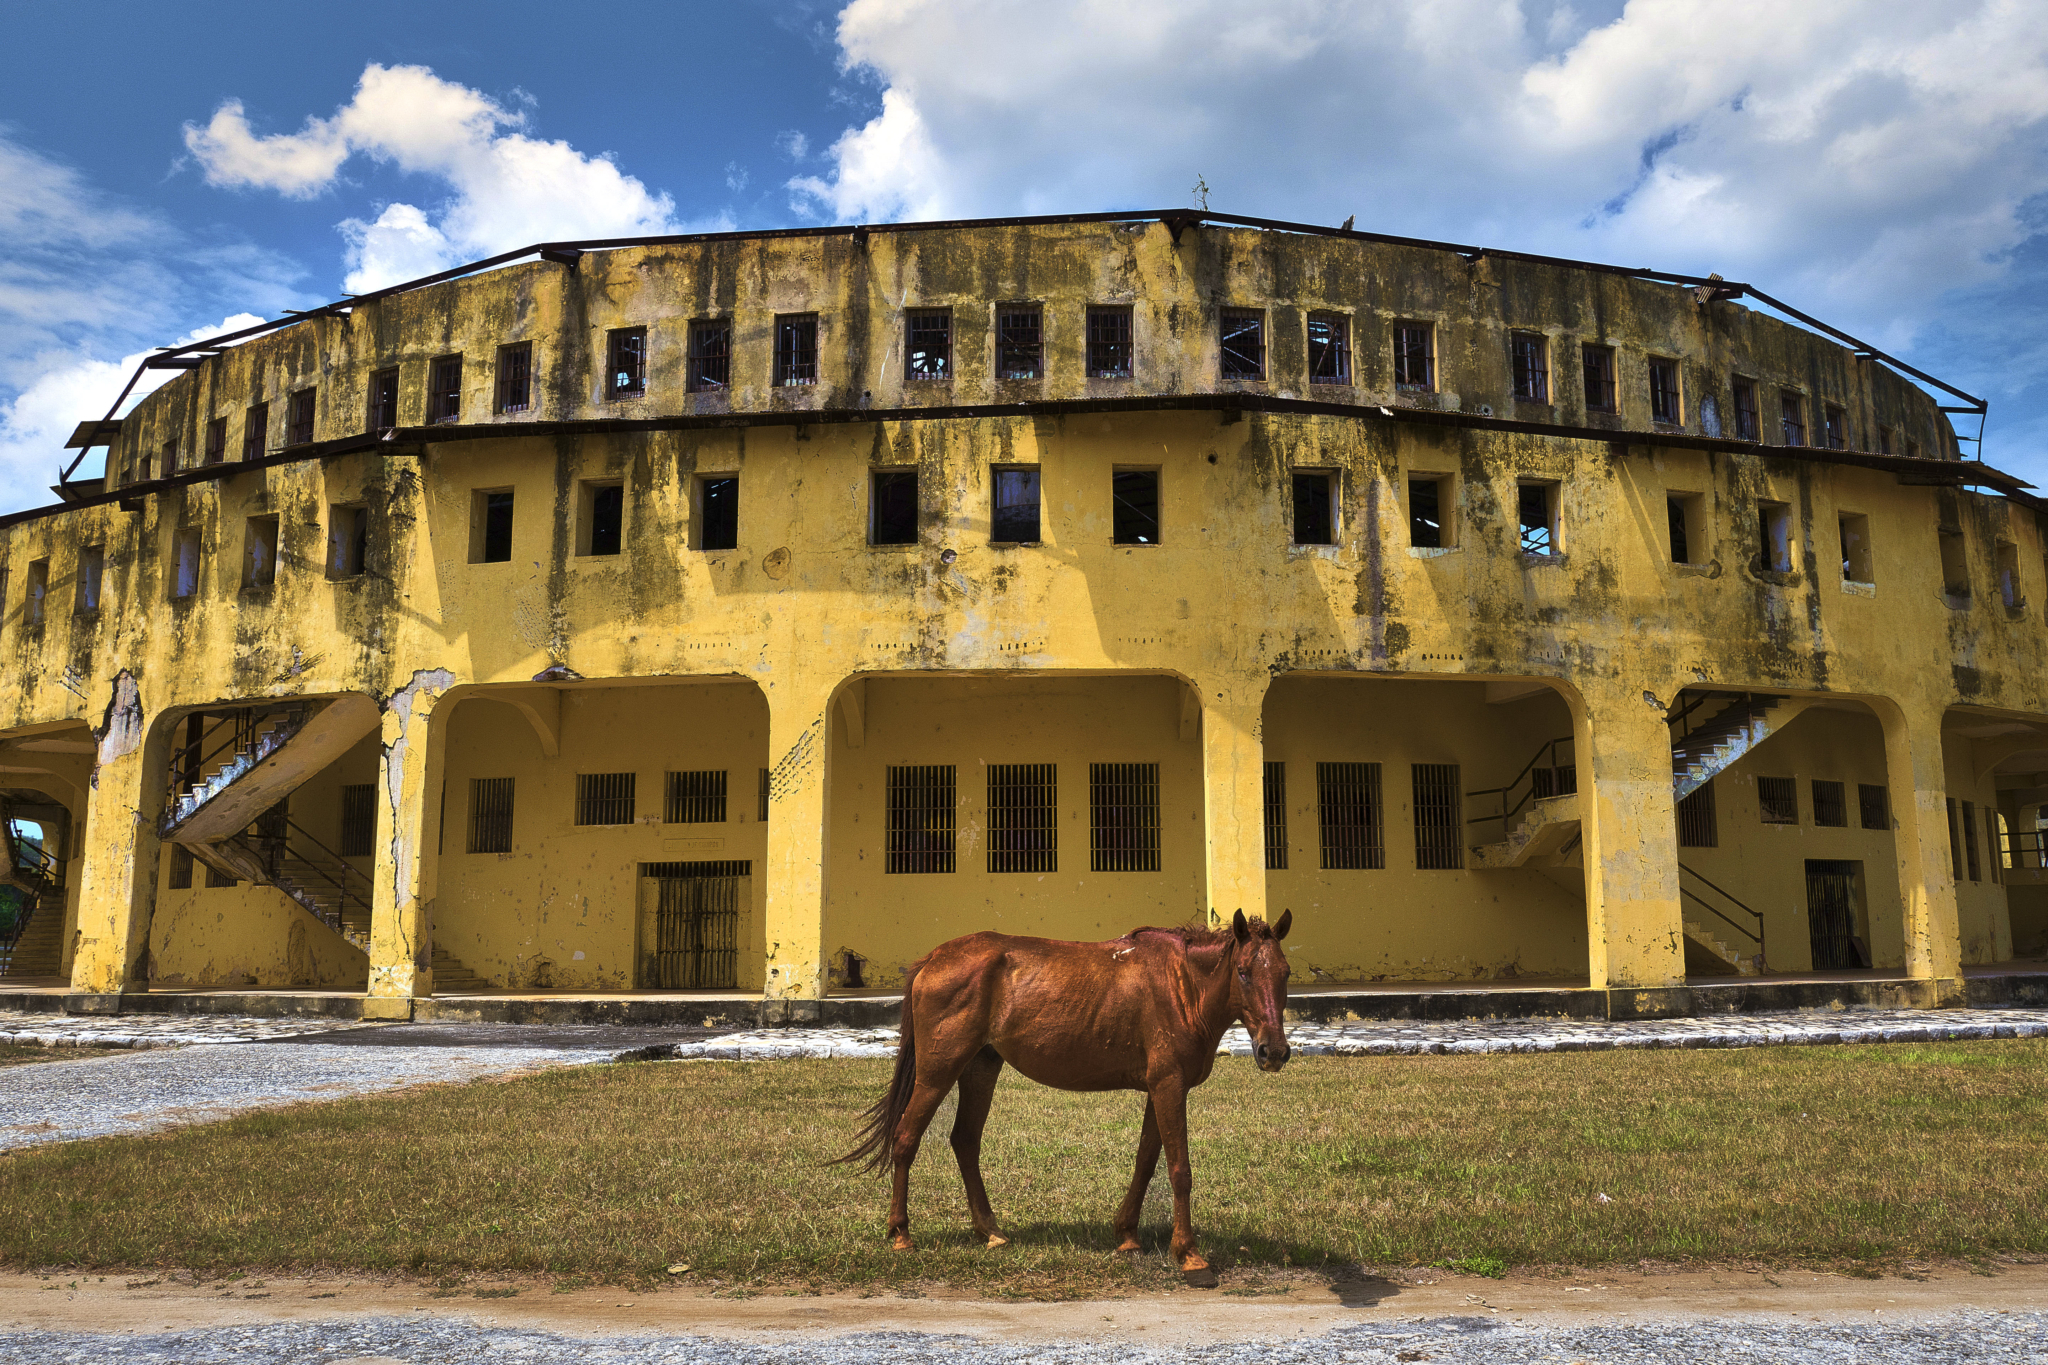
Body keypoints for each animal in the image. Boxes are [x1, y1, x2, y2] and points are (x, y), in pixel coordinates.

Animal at [837, 908, 1293, 1287]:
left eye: (1285, 973)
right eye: (1243, 971)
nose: (1274, 1051)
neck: (1182, 984)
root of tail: (933, 958)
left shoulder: (1157, 1088)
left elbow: (1146, 1161)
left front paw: (1127, 1234)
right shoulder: (1168, 1085)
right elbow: (1178, 1169)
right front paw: (1190, 1256)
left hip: (981, 1066)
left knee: (964, 1141)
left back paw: (991, 1232)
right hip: (938, 1071)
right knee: (906, 1138)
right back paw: (901, 1233)